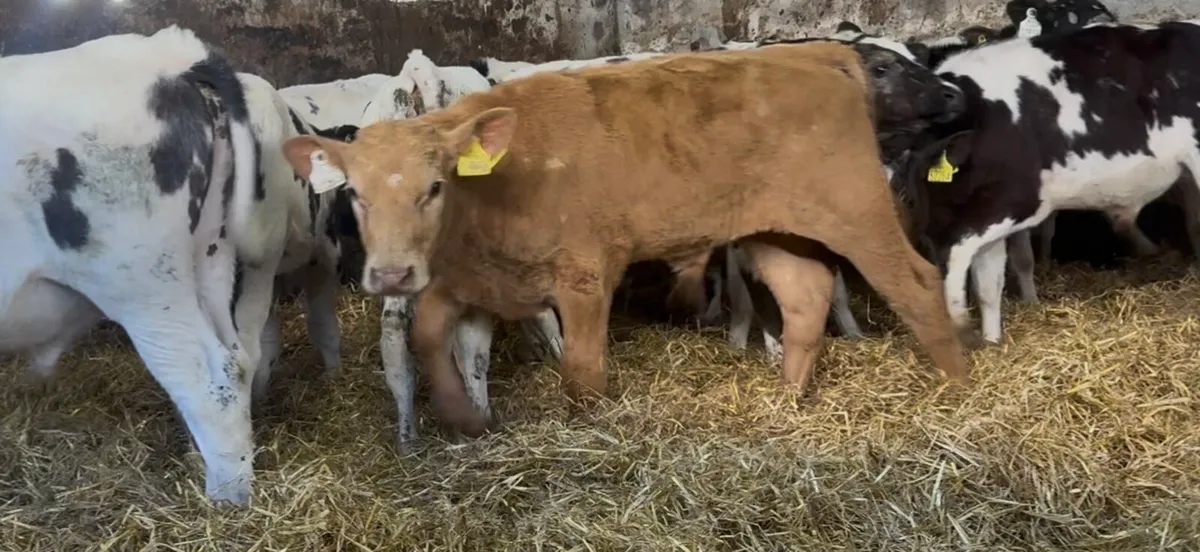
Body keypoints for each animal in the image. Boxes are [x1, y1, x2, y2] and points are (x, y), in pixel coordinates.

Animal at [0, 26, 287, 505]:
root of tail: (172, 56)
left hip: (142, 282)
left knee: (202, 377)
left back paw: (224, 499)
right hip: (210, 254)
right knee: (236, 361)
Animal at [281, 42, 973, 438]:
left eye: (434, 186)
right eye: (355, 193)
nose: (390, 275)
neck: (497, 189)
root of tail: (821, 55)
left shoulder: (585, 276)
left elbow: (582, 372)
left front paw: (589, 429)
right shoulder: (475, 280)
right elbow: (429, 335)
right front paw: (463, 417)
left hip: (857, 210)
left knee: (916, 281)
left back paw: (957, 387)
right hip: (774, 227)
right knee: (805, 296)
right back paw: (786, 398)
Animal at [897, 21, 1200, 347]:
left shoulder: (1014, 202)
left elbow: (957, 258)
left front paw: (961, 329)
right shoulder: (986, 210)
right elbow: (988, 283)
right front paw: (992, 342)